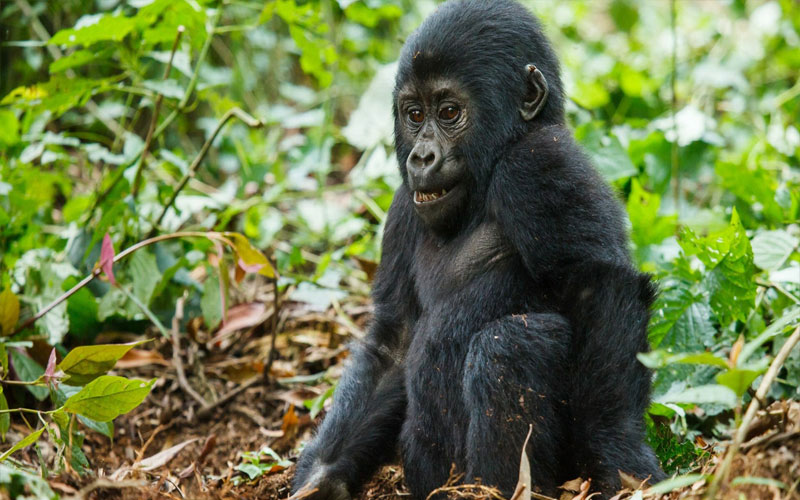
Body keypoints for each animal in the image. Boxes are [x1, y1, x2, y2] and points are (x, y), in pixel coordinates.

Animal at [290, 0, 664, 500]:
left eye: (449, 112)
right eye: (414, 114)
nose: (421, 157)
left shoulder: (537, 163)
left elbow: (599, 288)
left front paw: (615, 451)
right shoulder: (402, 208)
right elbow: (395, 339)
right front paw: (322, 476)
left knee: (508, 345)